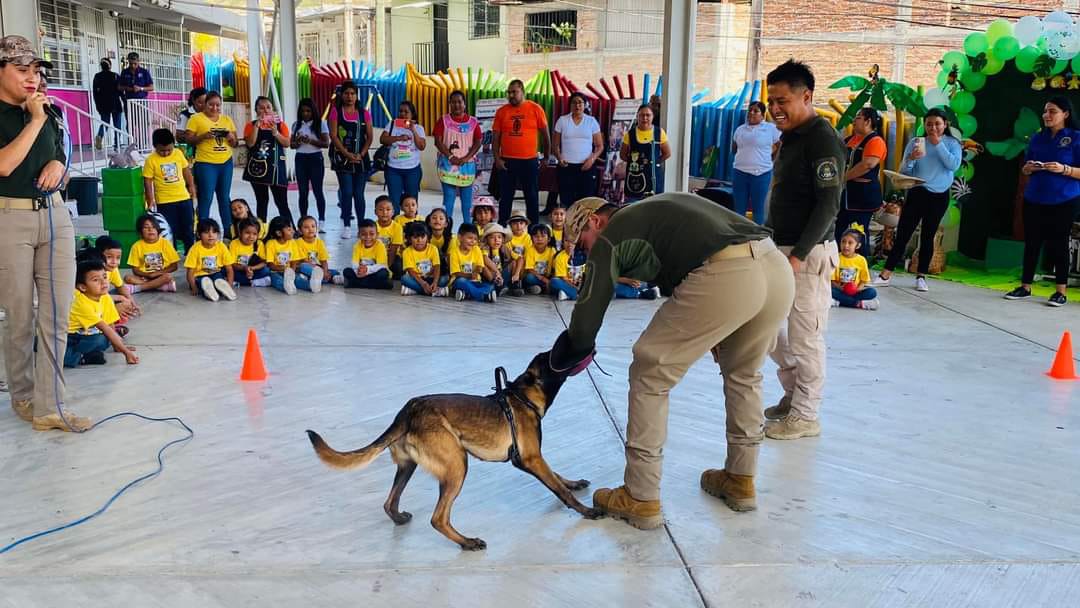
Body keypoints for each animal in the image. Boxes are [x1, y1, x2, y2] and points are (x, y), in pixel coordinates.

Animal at [308, 349, 604, 548]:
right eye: (556, 357)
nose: (588, 347)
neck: (524, 396)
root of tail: (407, 411)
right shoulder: (530, 459)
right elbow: (560, 489)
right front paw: (585, 510)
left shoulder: (535, 457)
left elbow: (558, 477)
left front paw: (574, 482)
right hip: (457, 466)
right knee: (438, 519)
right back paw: (466, 542)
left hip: (409, 466)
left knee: (390, 502)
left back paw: (401, 519)